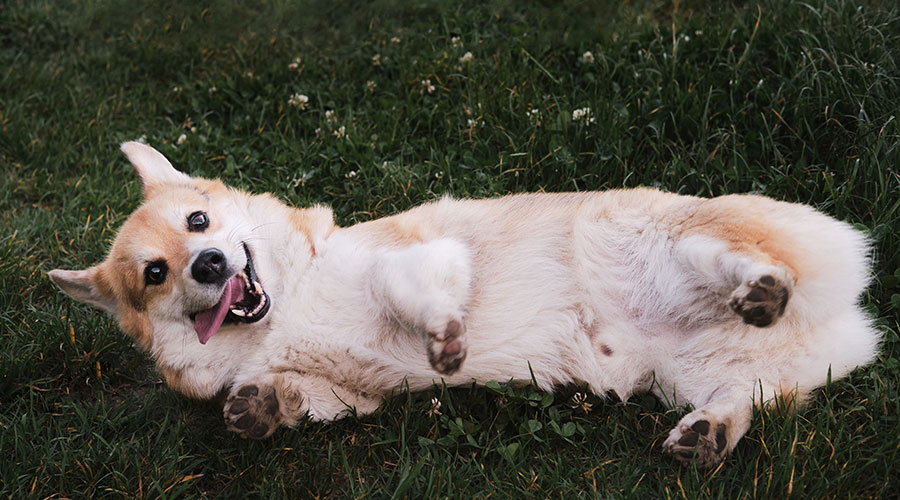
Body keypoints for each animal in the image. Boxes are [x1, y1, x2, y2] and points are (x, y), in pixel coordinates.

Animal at [49, 143, 880, 466]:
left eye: (198, 222)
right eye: (156, 274)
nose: (212, 264)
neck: (287, 306)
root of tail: (851, 321)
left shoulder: (420, 258)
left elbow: (416, 296)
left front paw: (445, 336)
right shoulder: (350, 396)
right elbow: (292, 400)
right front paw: (260, 407)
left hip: (666, 240)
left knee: (737, 261)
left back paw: (759, 286)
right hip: (696, 377)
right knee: (740, 399)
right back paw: (709, 433)